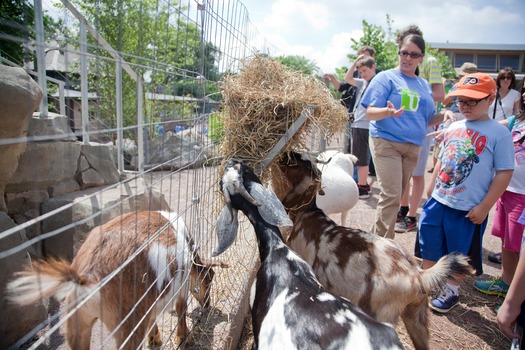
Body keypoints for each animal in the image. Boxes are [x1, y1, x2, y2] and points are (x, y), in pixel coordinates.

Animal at [7, 211, 221, 350]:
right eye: (209, 278)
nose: (208, 304)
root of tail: (85, 276)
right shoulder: (181, 287)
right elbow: (181, 308)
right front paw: (184, 339)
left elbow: (153, 317)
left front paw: (154, 339)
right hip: (127, 322)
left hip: (76, 321)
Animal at [278, 152, 474, 350]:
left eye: (299, 164)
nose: (285, 156)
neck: (306, 214)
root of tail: (418, 276)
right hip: (416, 315)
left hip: (380, 312)